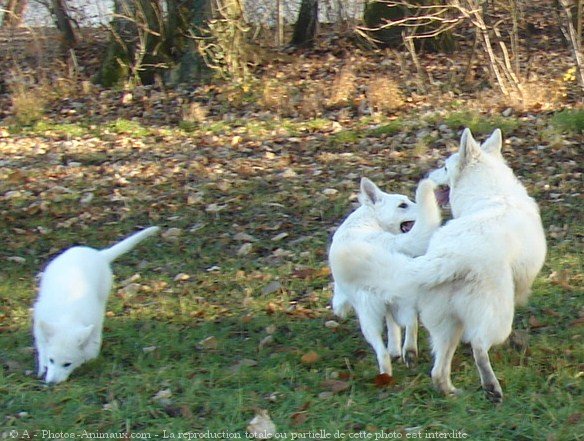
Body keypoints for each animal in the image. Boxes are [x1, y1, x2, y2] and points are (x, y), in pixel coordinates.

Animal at [32, 225, 160, 384]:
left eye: (67, 364)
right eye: (51, 360)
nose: (51, 384)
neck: (67, 316)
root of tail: (98, 254)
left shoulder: (94, 322)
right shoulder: (40, 325)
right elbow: (42, 347)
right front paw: (42, 367)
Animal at [330, 176, 440, 374]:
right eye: (403, 205)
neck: (371, 218)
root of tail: (382, 245)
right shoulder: (390, 304)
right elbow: (394, 328)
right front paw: (395, 349)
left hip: (367, 320)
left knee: (381, 353)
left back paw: (386, 375)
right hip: (405, 295)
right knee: (412, 323)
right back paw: (409, 352)